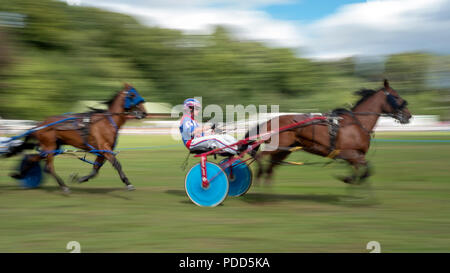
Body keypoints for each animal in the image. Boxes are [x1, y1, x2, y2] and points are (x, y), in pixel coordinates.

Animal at [7, 83, 147, 191]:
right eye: (132, 95)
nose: (144, 113)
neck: (107, 121)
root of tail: (39, 124)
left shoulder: (102, 151)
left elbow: (95, 170)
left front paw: (80, 178)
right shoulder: (104, 148)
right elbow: (117, 164)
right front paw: (128, 183)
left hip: (52, 147)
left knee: (32, 159)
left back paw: (20, 175)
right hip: (49, 146)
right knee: (48, 167)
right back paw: (63, 187)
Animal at [248, 79, 414, 184]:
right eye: (396, 96)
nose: (408, 115)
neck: (357, 123)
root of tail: (269, 120)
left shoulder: (355, 156)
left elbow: (364, 170)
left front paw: (352, 182)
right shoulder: (349, 153)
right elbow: (365, 170)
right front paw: (349, 180)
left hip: (284, 150)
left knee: (270, 168)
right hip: (276, 147)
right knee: (260, 158)